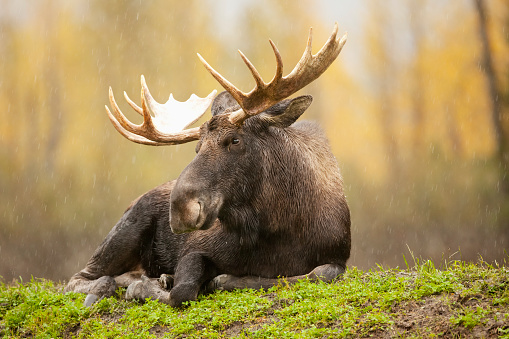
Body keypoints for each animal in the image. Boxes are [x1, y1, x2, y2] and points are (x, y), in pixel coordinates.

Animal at [65, 23, 350, 308]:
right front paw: (146, 287)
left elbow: (317, 274)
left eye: (235, 139)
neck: (279, 227)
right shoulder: (196, 248)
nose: (181, 210)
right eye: (197, 147)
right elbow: (182, 291)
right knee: (83, 278)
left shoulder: (338, 257)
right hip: (127, 230)